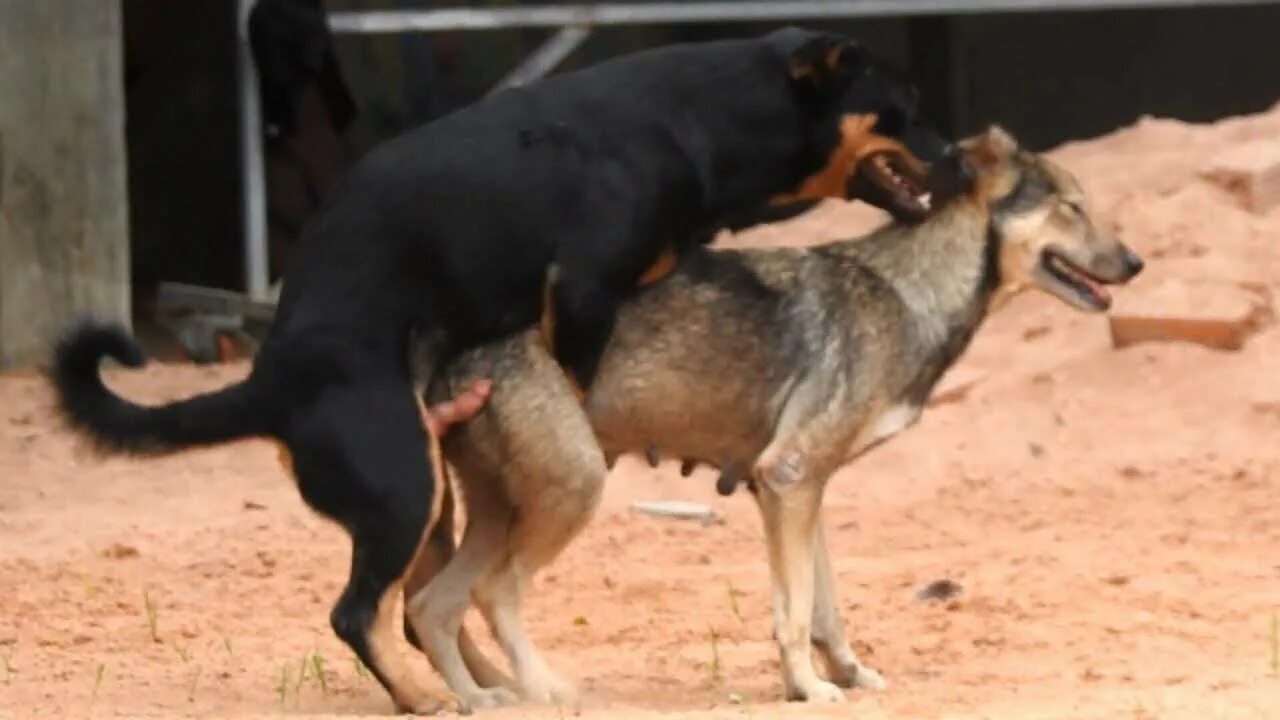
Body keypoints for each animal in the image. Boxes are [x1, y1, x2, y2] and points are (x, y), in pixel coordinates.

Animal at [55, 28, 962, 712]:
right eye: (907, 111)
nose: (961, 157)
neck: (698, 118)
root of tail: (267, 381)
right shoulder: (585, 293)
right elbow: (579, 381)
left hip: (426, 499)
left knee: (421, 606)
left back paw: (483, 683)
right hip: (402, 482)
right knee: (363, 613)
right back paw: (431, 695)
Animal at [401, 127, 1141, 707]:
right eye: (1072, 207)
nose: (1134, 262)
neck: (908, 292)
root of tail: (449, 348)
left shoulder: (795, 490)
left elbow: (825, 609)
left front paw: (845, 676)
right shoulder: (790, 478)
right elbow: (794, 611)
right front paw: (809, 688)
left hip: (500, 511)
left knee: (430, 607)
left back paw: (478, 701)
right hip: (571, 493)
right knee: (492, 593)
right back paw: (545, 694)